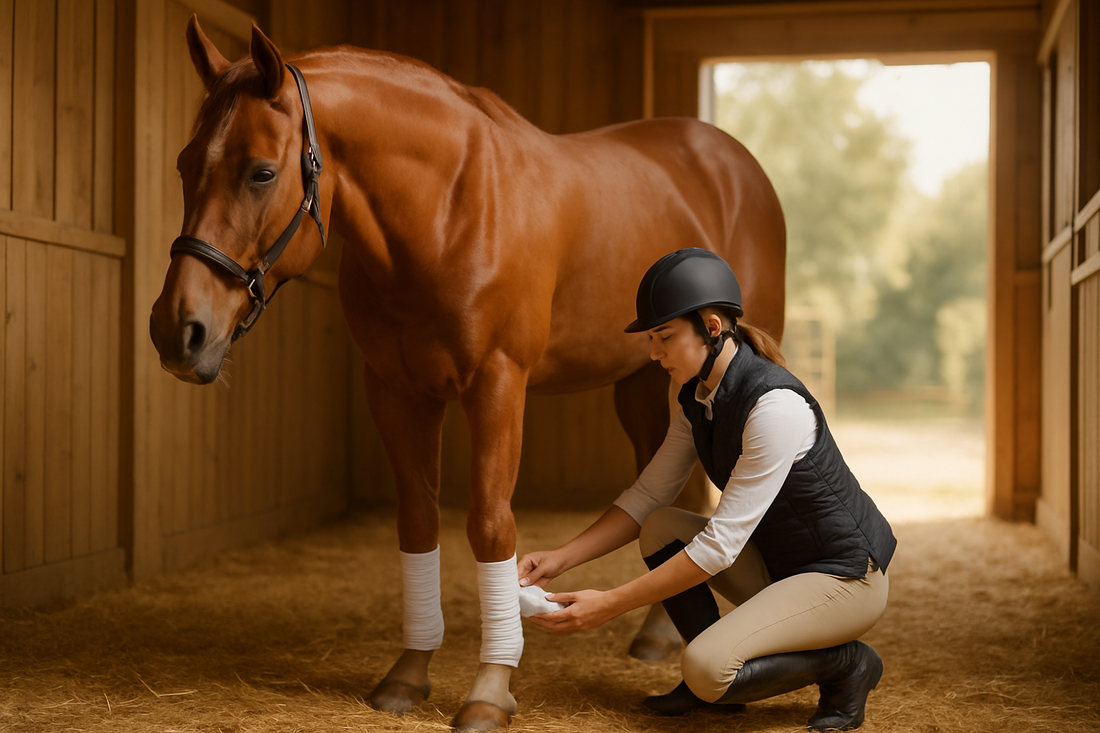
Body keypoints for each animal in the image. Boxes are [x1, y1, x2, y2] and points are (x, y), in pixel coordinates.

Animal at [149, 16, 786, 732]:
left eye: (261, 172)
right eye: (185, 164)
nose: (178, 331)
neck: (446, 210)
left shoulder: (497, 385)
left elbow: (489, 525)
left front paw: (490, 688)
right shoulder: (396, 390)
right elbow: (418, 522)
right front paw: (408, 673)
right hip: (644, 383)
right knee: (663, 485)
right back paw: (655, 635)